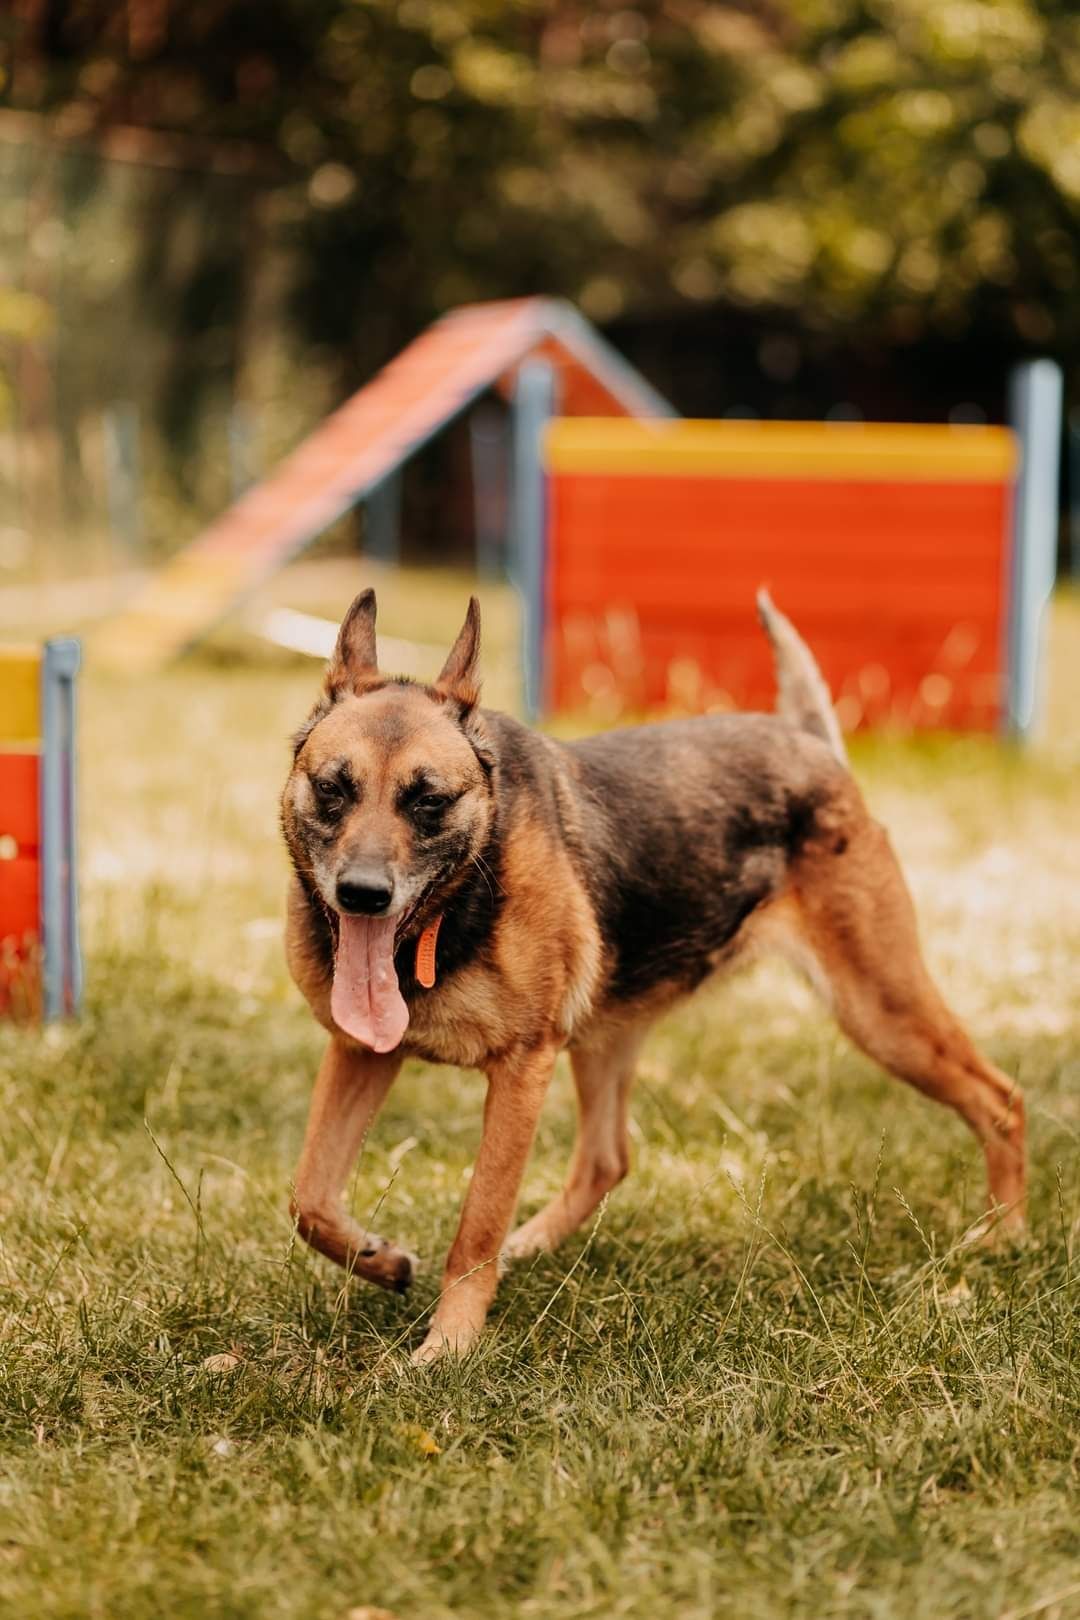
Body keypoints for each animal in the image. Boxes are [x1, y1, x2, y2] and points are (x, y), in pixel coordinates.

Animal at [283, 589, 1029, 1360]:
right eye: (333, 788)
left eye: (428, 800)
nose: (362, 895)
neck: (452, 912)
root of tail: (810, 740)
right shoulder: (361, 1052)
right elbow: (310, 1197)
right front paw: (379, 1259)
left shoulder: (520, 1071)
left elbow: (478, 1225)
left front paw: (450, 1346)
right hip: (607, 1036)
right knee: (606, 1159)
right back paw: (534, 1244)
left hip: (882, 1013)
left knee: (1001, 1099)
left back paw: (1004, 1237)